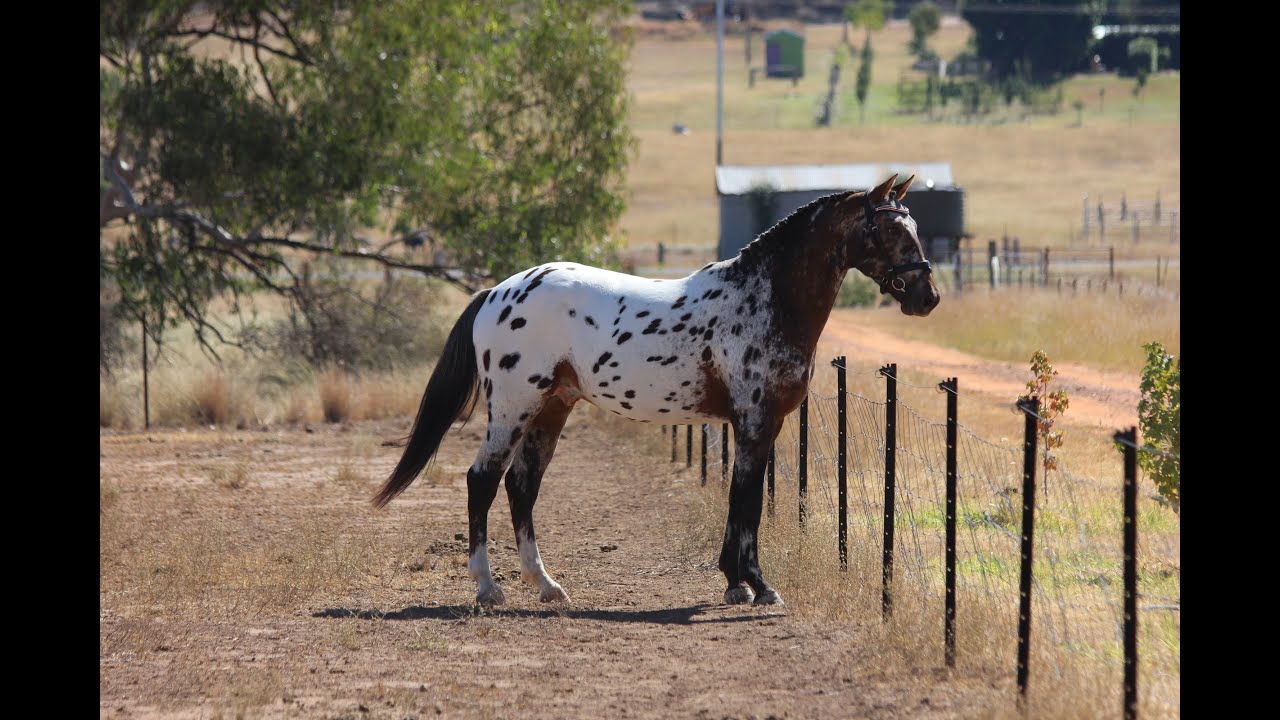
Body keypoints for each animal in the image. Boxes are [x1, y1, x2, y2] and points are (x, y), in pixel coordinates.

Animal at [372, 173, 940, 607]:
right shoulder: (756, 423)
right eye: (889, 229)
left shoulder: (757, 426)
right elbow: (749, 502)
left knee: (521, 486)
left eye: (914, 226)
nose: (927, 297)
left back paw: (547, 585)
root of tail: (496, 291)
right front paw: (758, 586)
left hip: (552, 408)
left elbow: (740, 499)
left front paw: (735, 584)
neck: (764, 298)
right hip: (514, 407)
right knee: (483, 481)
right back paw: (488, 588)